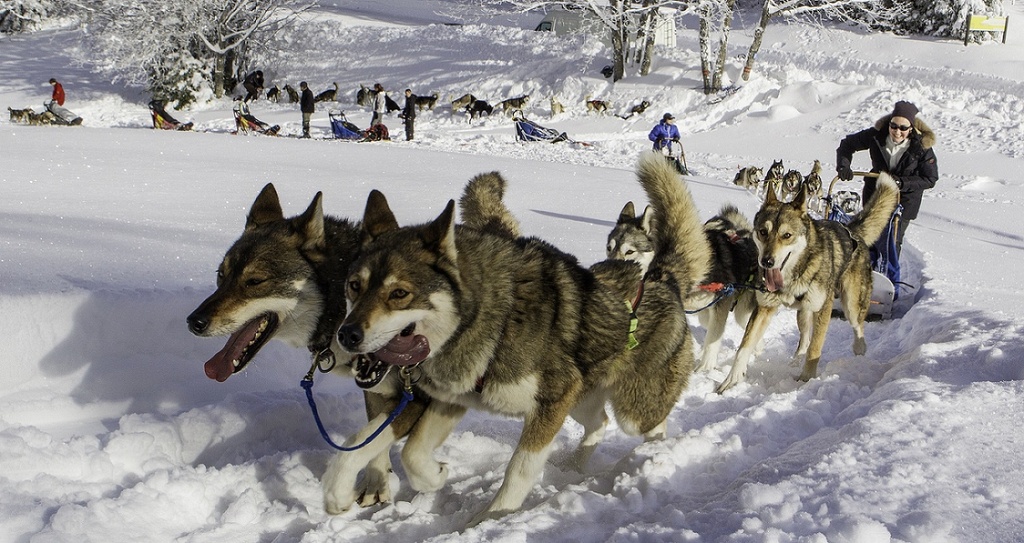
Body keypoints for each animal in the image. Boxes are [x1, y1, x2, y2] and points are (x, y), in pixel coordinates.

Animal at [186, 172, 520, 508]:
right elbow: (372, 437)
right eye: (221, 275)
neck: (338, 309)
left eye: (254, 281)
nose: (194, 322)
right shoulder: (375, 388)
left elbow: (376, 437)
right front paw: (376, 482)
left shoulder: (416, 393)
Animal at [335, 150, 712, 524]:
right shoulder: (451, 398)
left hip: (630, 410)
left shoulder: (549, 404)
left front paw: (493, 517)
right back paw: (574, 464)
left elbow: (519, 470)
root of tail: (660, 278)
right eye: (354, 285)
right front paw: (435, 476)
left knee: (650, 427)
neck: (495, 318)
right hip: (581, 400)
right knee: (599, 423)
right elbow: (409, 452)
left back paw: (649, 456)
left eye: (399, 293)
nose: (346, 335)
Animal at [606, 200, 761, 368]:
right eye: (609, 248)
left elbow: (713, 338)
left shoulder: (723, 299)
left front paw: (705, 367)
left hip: (741, 311)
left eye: (630, 252)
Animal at [716, 171, 901, 391]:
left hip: (851, 305)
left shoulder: (824, 308)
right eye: (762, 232)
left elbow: (815, 348)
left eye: (787, 235)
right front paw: (732, 379)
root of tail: (853, 233)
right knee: (804, 339)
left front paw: (806, 381)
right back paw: (795, 361)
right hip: (804, 313)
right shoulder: (764, 308)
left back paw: (859, 351)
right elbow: (744, 346)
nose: (767, 261)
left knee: (857, 327)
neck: (795, 273)